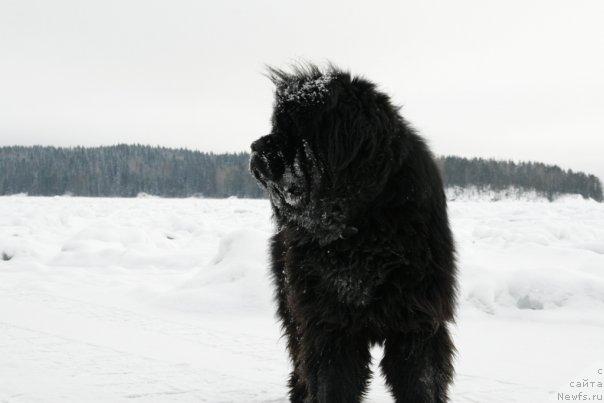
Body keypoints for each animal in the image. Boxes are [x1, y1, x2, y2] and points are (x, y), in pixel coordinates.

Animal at [251, 64, 458, 402]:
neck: (361, 225)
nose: (255, 147)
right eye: (276, 123)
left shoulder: (417, 322)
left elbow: (421, 381)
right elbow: (332, 381)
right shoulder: (329, 325)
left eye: (296, 128)